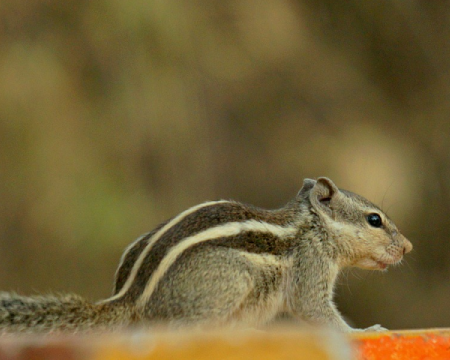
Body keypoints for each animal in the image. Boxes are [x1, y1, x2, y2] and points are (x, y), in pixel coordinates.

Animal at [0, 179, 412, 334]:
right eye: (375, 220)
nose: (408, 247)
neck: (313, 226)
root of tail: (129, 298)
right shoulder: (310, 272)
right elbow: (316, 310)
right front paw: (365, 331)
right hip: (230, 282)